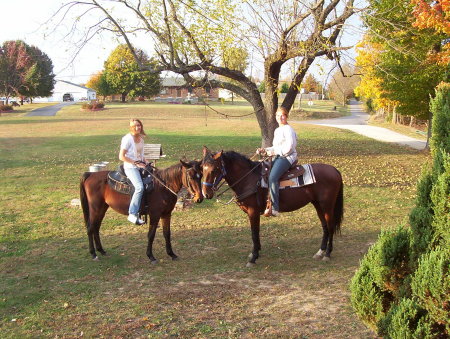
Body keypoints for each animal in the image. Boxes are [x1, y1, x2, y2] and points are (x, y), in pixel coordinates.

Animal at [201, 147, 344, 266]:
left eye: (214, 170)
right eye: (202, 169)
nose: (205, 193)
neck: (249, 179)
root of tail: (335, 170)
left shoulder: (253, 211)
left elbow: (254, 233)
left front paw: (253, 258)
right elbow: (256, 232)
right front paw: (255, 252)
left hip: (327, 205)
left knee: (330, 226)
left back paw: (327, 254)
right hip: (318, 204)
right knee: (325, 227)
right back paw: (320, 252)